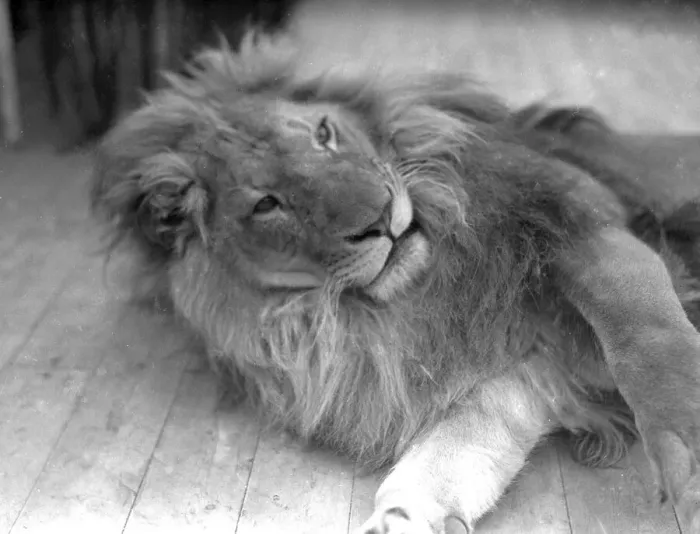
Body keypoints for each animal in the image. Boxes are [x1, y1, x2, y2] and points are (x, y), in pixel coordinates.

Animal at [89, 35, 700, 533]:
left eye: (324, 133)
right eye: (266, 204)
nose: (381, 218)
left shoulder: (583, 225)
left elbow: (642, 328)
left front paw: (686, 452)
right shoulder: (511, 373)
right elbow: (451, 455)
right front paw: (401, 519)